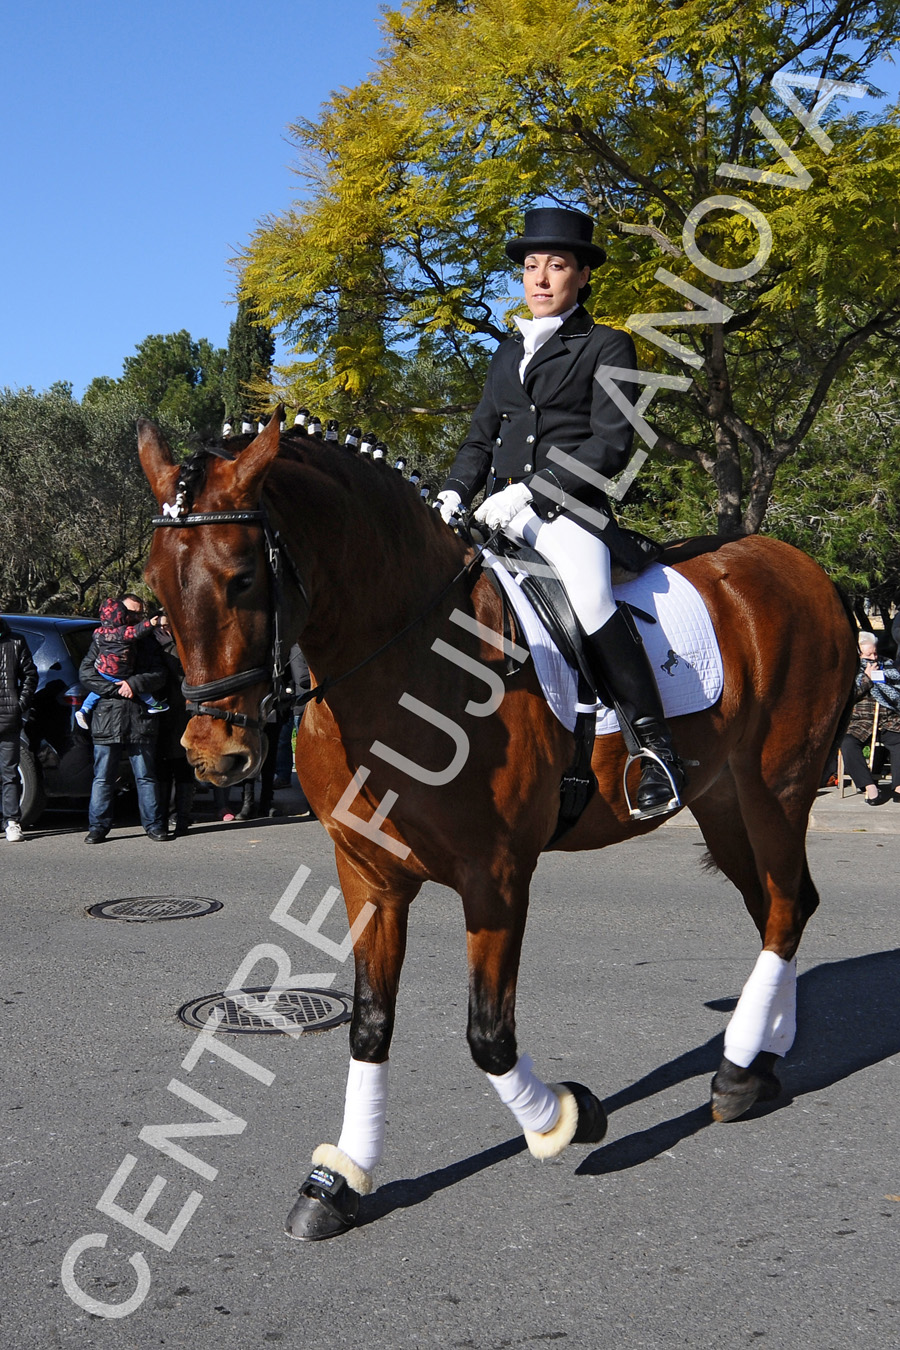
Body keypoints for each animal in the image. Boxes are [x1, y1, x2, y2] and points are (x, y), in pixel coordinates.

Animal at [138, 413, 858, 1242]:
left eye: (243, 579)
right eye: (156, 584)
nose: (213, 755)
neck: (407, 662)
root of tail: (804, 567)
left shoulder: (497, 875)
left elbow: (488, 1034)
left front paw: (565, 1120)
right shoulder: (368, 876)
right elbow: (370, 1023)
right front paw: (339, 1179)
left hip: (777, 788)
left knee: (783, 909)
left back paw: (739, 1070)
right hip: (722, 802)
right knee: (784, 907)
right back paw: (765, 1055)